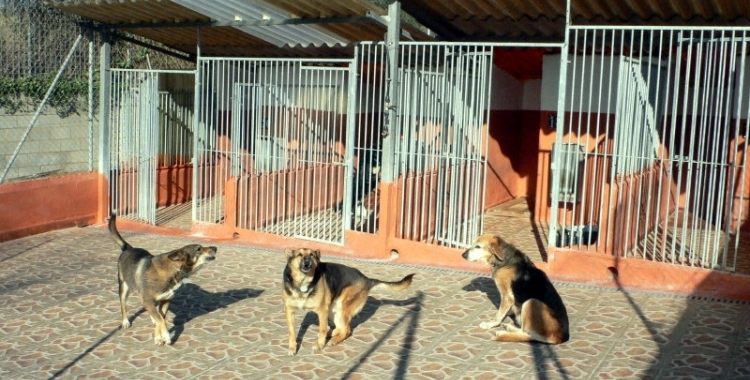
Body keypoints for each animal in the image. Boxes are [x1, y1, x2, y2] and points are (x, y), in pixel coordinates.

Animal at [110, 212, 219, 346]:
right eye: (199, 249)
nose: (215, 247)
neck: (173, 270)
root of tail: (128, 248)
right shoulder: (148, 300)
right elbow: (161, 320)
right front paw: (166, 336)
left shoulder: (166, 300)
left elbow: (161, 318)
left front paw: (158, 336)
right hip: (123, 287)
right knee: (123, 306)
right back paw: (125, 321)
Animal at [284, 248, 418, 354]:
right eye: (300, 255)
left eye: (311, 255)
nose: (307, 260)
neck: (302, 283)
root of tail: (366, 279)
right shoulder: (289, 311)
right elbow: (291, 331)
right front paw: (292, 348)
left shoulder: (321, 311)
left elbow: (321, 329)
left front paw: (319, 344)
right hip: (332, 310)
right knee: (340, 327)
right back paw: (330, 333)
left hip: (341, 307)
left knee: (346, 329)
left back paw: (333, 340)